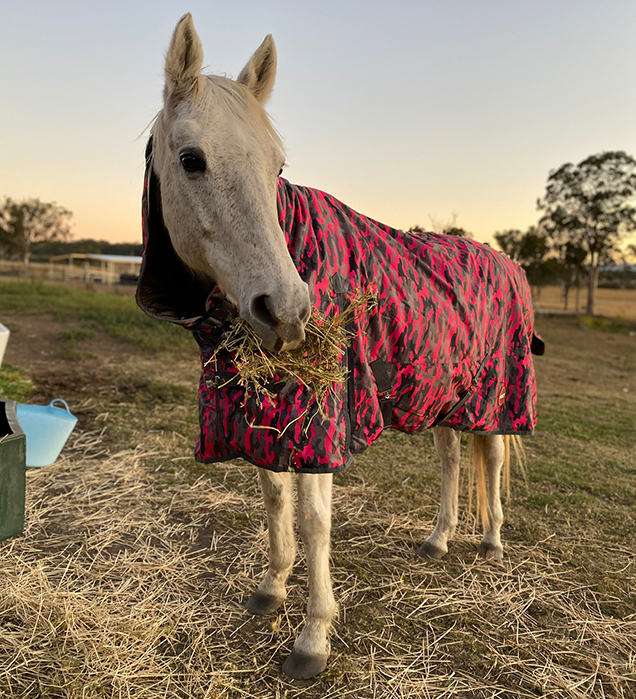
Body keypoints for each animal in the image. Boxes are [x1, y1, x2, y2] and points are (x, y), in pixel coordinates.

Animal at [137, 14, 541, 680]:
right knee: (453, 459)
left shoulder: (320, 419)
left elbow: (314, 520)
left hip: (496, 394)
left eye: (277, 168)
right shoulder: (265, 415)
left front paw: (312, 639)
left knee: (494, 456)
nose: (286, 310)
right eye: (191, 160)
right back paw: (439, 539)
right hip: (445, 394)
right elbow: (275, 500)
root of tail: (504, 259)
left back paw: (490, 541)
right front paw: (270, 592)